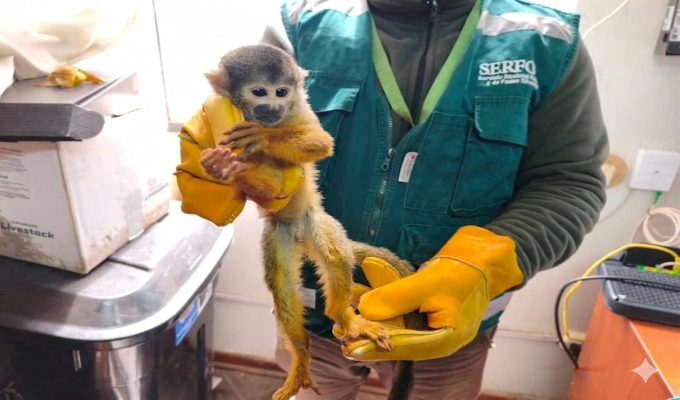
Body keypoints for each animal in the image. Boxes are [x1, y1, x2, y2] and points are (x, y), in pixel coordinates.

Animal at [199, 44, 429, 400]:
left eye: (281, 91)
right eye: (259, 92)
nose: (273, 107)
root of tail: (298, 234)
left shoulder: (299, 110)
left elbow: (321, 143)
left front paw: (262, 138)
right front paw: (220, 169)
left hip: (316, 222)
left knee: (335, 257)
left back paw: (344, 319)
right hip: (277, 235)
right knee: (280, 285)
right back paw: (302, 353)